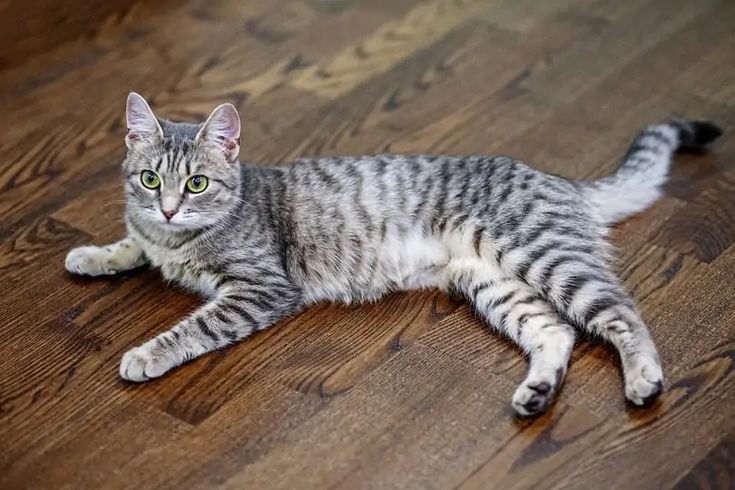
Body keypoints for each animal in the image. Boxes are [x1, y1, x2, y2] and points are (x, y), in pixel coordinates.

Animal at [66, 91, 720, 414]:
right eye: (151, 179)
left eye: (197, 184)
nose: (169, 207)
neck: (180, 240)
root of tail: (558, 180)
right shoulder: (151, 234)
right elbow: (132, 242)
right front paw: (94, 254)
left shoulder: (259, 287)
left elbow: (192, 326)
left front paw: (146, 353)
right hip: (495, 285)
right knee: (556, 333)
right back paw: (536, 393)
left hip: (546, 257)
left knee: (623, 314)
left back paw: (644, 380)